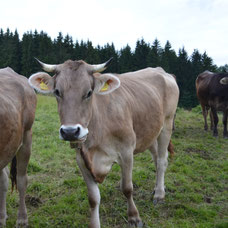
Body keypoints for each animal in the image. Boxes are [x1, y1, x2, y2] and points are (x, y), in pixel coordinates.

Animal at [28, 59, 179, 228]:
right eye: (57, 92)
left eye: (89, 93)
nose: (70, 131)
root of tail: (161, 71)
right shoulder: (82, 159)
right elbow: (93, 198)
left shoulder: (127, 151)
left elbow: (127, 188)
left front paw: (134, 217)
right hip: (150, 131)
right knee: (156, 159)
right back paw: (158, 187)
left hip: (167, 124)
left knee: (162, 160)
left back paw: (159, 194)